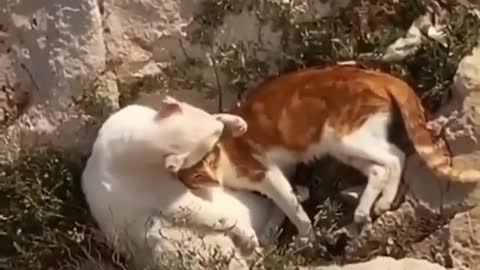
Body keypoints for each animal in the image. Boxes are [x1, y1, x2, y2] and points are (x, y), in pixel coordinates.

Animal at [81, 98, 286, 268]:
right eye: (208, 149)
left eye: (217, 132)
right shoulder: (152, 187)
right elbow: (190, 206)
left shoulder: (126, 114)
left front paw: (233, 122)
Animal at [178, 64, 480, 242]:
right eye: (196, 174)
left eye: (209, 157)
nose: (211, 178)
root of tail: (373, 73)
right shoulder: (282, 170)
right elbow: (284, 205)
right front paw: (274, 233)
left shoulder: (266, 173)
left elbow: (290, 207)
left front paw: (304, 236)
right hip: (344, 148)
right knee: (379, 168)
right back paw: (365, 209)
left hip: (346, 136)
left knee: (395, 156)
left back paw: (381, 202)